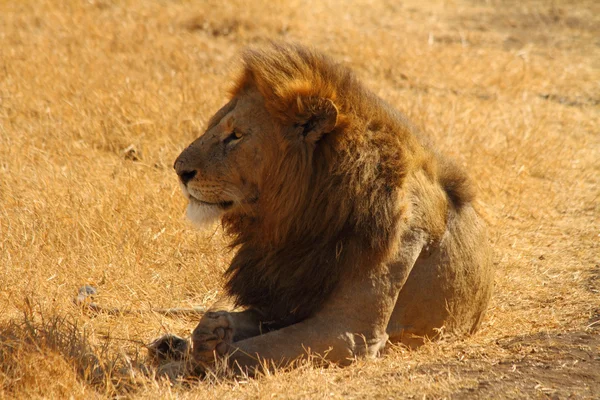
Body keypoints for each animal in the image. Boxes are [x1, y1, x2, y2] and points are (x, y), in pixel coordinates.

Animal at [161, 42, 492, 374]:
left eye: (236, 136)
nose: (179, 170)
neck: (302, 216)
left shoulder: (348, 332)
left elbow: (248, 352)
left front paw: (180, 367)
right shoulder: (282, 296)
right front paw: (204, 337)